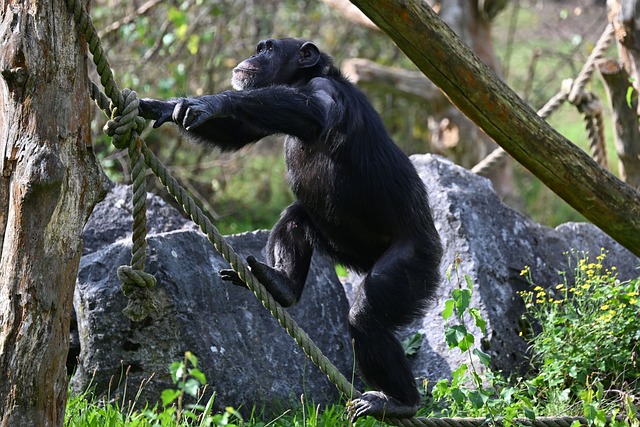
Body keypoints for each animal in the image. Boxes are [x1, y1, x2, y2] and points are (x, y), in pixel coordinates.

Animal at [138, 37, 442, 422]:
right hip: (347, 246)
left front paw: (208, 102)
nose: (251, 55)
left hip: (414, 262)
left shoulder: (324, 93)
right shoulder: (262, 120)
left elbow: (309, 110)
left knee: (366, 318)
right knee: (296, 217)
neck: (304, 78)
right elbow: (240, 131)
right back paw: (282, 284)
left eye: (267, 49)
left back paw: (399, 401)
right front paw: (159, 106)